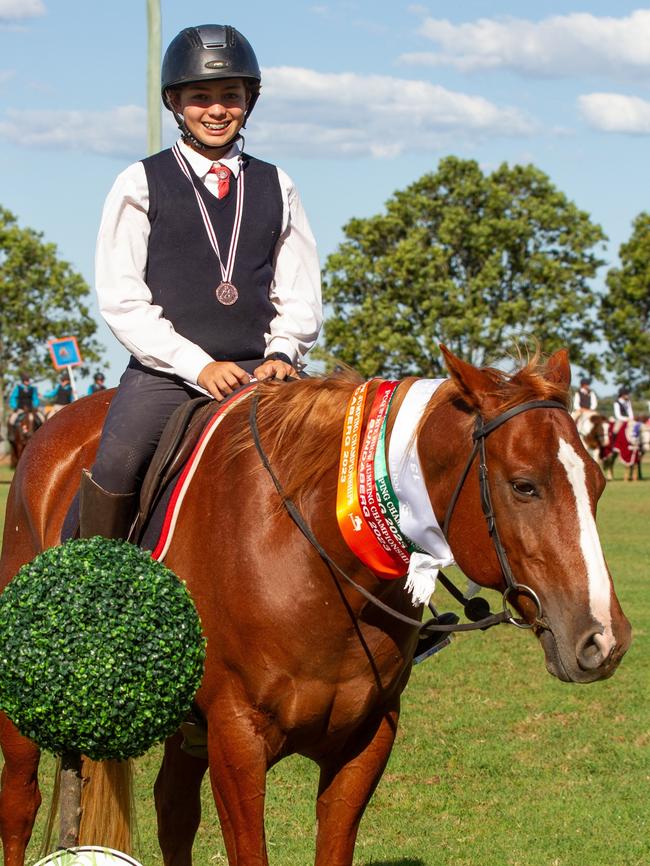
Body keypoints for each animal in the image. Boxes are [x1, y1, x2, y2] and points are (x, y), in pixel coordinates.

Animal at [0, 346, 628, 864]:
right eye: (524, 486)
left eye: (597, 483)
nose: (604, 639)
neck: (312, 562)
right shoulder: (237, 742)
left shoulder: (365, 741)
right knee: (20, 804)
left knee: (172, 812)